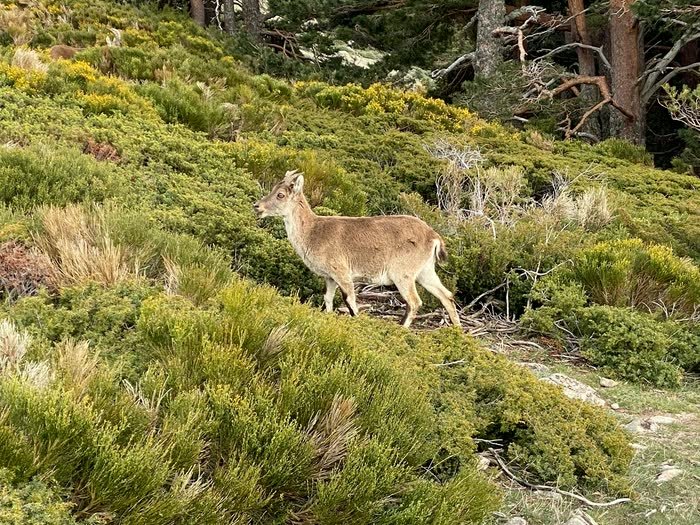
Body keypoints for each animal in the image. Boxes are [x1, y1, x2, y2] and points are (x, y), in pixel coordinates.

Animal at [254, 170, 461, 328]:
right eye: (273, 189)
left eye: (280, 194)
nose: (257, 206)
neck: (313, 232)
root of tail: (433, 237)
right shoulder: (329, 277)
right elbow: (328, 298)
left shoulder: (342, 272)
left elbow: (350, 300)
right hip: (425, 271)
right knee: (447, 296)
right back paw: (457, 331)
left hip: (403, 273)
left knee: (415, 301)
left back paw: (402, 329)